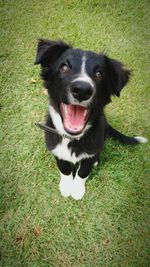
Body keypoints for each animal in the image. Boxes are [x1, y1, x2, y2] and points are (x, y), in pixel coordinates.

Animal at [34, 38, 148, 200]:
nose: (82, 90)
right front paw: (66, 186)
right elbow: (64, 168)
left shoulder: (92, 150)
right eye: (64, 67)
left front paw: (77, 190)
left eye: (99, 74)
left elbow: (83, 171)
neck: (72, 139)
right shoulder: (56, 149)